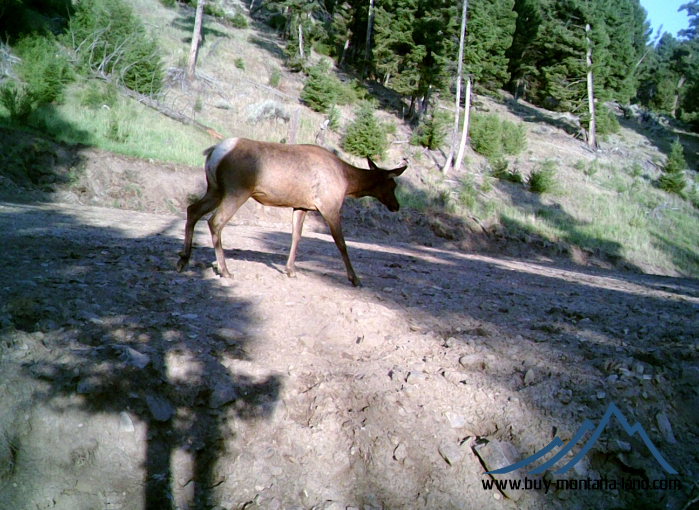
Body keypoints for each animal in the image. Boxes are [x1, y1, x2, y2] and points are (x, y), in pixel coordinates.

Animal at [178, 137, 408, 284]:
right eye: (393, 185)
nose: (396, 206)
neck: (348, 182)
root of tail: (213, 152)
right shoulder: (329, 205)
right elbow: (341, 243)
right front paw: (355, 278)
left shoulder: (302, 206)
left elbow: (296, 236)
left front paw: (290, 270)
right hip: (237, 190)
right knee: (215, 221)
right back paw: (224, 270)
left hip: (215, 188)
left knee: (192, 210)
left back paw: (184, 259)